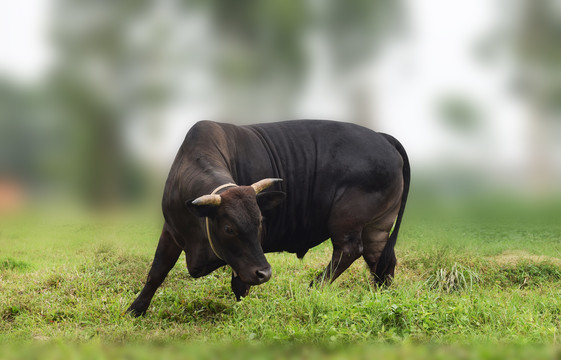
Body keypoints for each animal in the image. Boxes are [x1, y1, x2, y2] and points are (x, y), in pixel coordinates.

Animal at [127, 120, 410, 316]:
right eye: (228, 228)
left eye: (260, 223)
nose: (266, 273)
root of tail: (382, 137)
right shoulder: (171, 231)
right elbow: (157, 270)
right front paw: (136, 309)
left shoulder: (248, 256)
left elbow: (240, 281)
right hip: (377, 226)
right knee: (380, 259)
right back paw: (382, 297)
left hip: (347, 221)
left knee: (349, 250)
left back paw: (314, 287)